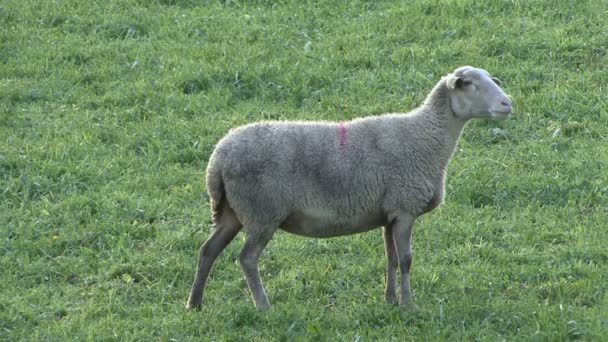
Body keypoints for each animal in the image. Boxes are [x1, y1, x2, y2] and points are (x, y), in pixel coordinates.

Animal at [186, 65, 512, 310]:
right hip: (262, 212)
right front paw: (408, 305)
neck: (426, 136)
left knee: (207, 251)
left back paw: (195, 304)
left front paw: (390, 300)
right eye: (469, 84)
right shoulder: (405, 207)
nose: (507, 103)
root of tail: (218, 157)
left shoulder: (389, 213)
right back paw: (263, 306)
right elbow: (407, 260)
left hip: (231, 211)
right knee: (247, 259)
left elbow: (391, 259)